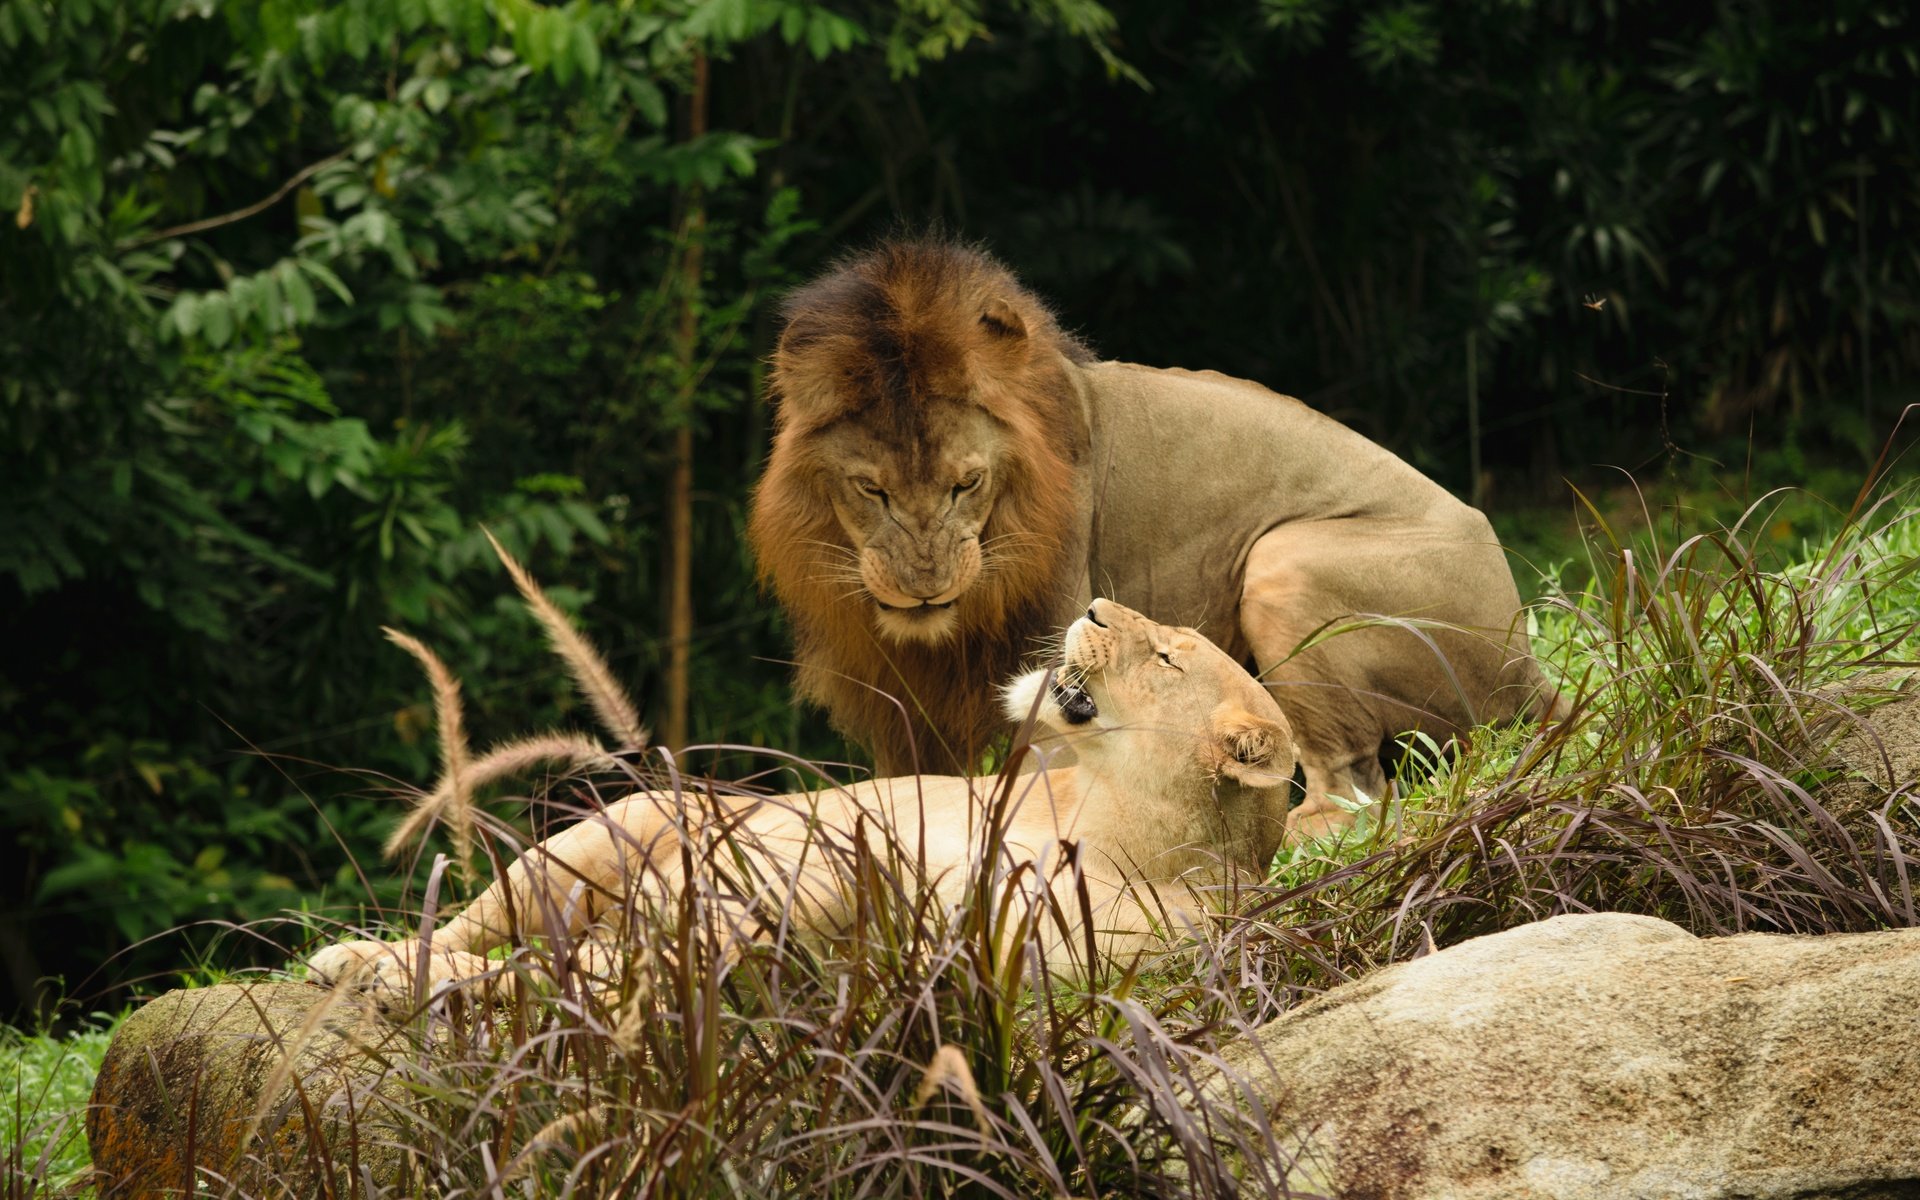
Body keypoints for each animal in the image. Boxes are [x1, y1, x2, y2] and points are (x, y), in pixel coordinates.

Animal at [311, 599, 1290, 990]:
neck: (1098, 816)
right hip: (596, 838)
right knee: (472, 927)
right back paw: (356, 959)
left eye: (1165, 656)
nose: (1088, 608)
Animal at [744, 239, 1559, 837]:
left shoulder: (1049, 655)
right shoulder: (900, 705)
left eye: (966, 483)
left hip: (1284, 561)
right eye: (872, 489)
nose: (926, 586)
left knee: (1355, 791)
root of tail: (1529, 662)